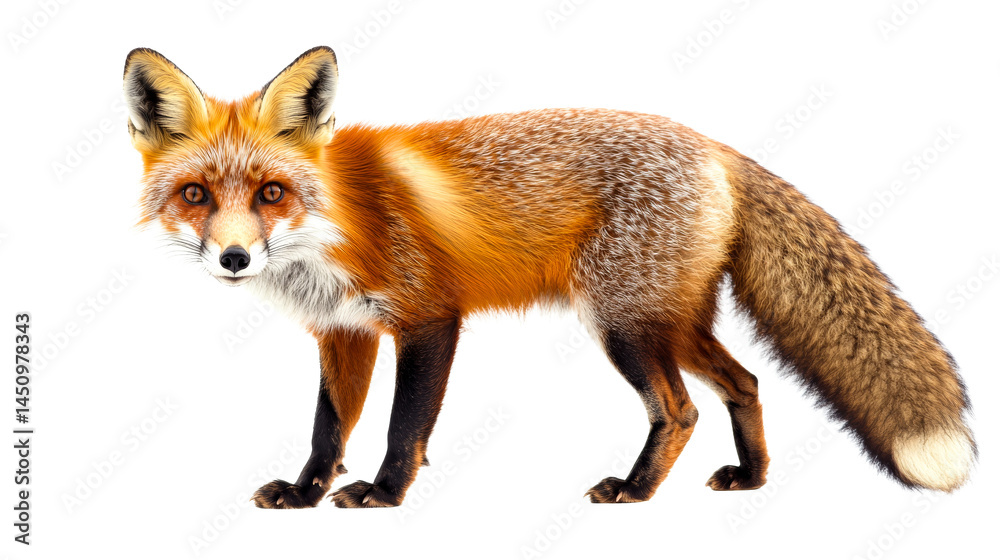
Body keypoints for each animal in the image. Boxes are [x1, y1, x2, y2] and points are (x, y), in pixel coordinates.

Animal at [123, 46, 975, 508]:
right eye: (196, 195)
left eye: (272, 192)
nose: (234, 258)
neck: (335, 222)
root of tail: (714, 146)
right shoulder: (344, 331)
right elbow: (327, 429)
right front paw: (305, 493)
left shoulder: (429, 317)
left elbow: (403, 426)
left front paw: (385, 494)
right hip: (671, 322)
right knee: (746, 382)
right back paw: (754, 478)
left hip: (626, 325)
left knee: (680, 410)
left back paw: (635, 491)